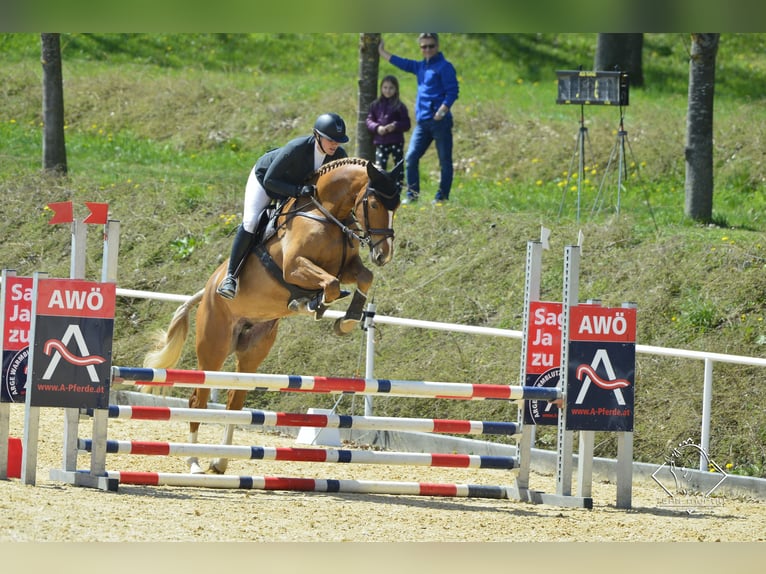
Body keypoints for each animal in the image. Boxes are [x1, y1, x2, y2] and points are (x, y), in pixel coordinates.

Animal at [146, 158, 408, 472]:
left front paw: (346, 319)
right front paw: (311, 302)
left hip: (253, 349)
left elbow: (363, 277)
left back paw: (220, 461)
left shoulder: (347, 266)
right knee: (198, 399)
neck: (327, 214)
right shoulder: (294, 267)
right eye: (375, 203)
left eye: (396, 207)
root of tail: (207, 289)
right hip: (214, 346)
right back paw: (195, 461)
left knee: (235, 401)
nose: (384, 254)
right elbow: (330, 284)